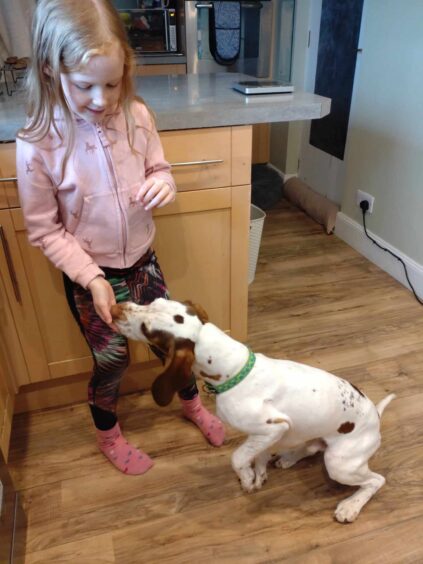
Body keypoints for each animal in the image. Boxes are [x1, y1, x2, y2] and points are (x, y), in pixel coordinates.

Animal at [111, 298, 396, 524]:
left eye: (147, 330)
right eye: (153, 300)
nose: (114, 309)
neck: (235, 370)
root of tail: (376, 415)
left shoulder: (272, 427)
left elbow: (237, 457)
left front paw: (247, 478)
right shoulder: (265, 434)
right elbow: (256, 455)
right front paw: (258, 473)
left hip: (340, 463)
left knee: (375, 481)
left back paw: (350, 506)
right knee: (313, 447)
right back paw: (289, 457)